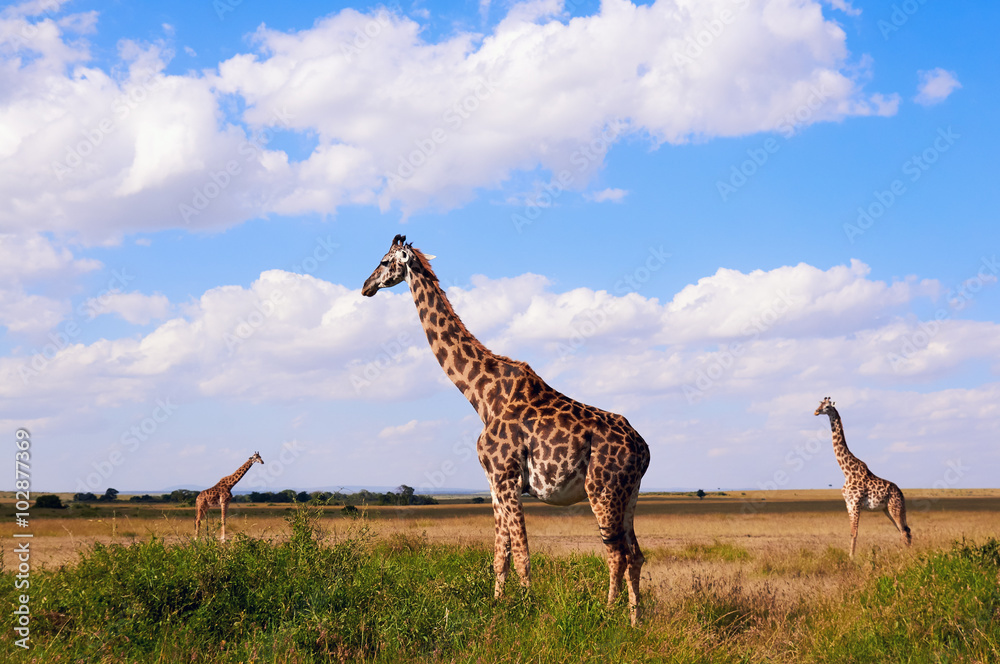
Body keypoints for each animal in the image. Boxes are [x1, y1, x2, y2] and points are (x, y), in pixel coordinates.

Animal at [362, 235, 651, 625]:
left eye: (383, 261)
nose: (365, 286)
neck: (480, 395)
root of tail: (644, 448)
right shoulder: (493, 482)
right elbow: (501, 553)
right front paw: (497, 606)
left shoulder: (507, 476)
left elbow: (522, 553)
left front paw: (527, 611)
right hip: (629, 493)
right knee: (635, 553)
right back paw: (635, 621)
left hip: (602, 489)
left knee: (616, 553)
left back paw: (607, 615)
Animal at [814, 397, 911, 557]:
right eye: (819, 404)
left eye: (827, 406)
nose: (816, 412)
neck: (846, 471)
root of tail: (901, 493)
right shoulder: (848, 503)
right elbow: (851, 532)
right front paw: (850, 555)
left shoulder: (855, 502)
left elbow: (854, 532)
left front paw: (851, 557)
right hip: (888, 509)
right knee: (905, 530)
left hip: (895, 508)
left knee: (904, 531)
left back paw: (905, 555)